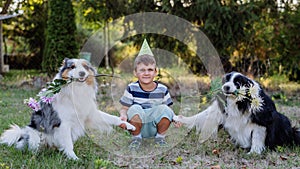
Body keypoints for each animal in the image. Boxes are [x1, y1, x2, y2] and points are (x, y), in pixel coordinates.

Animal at [0, 58, 136, 160]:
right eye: (72, 67)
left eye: (85, 67)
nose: (82, 73)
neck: (76, 89)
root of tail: (24, 134)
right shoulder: (64, 124)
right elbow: (68, 144)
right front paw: (73, 158)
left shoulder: (91, 114)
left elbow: (112, 118)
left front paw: (127, 125)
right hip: (36, 136)